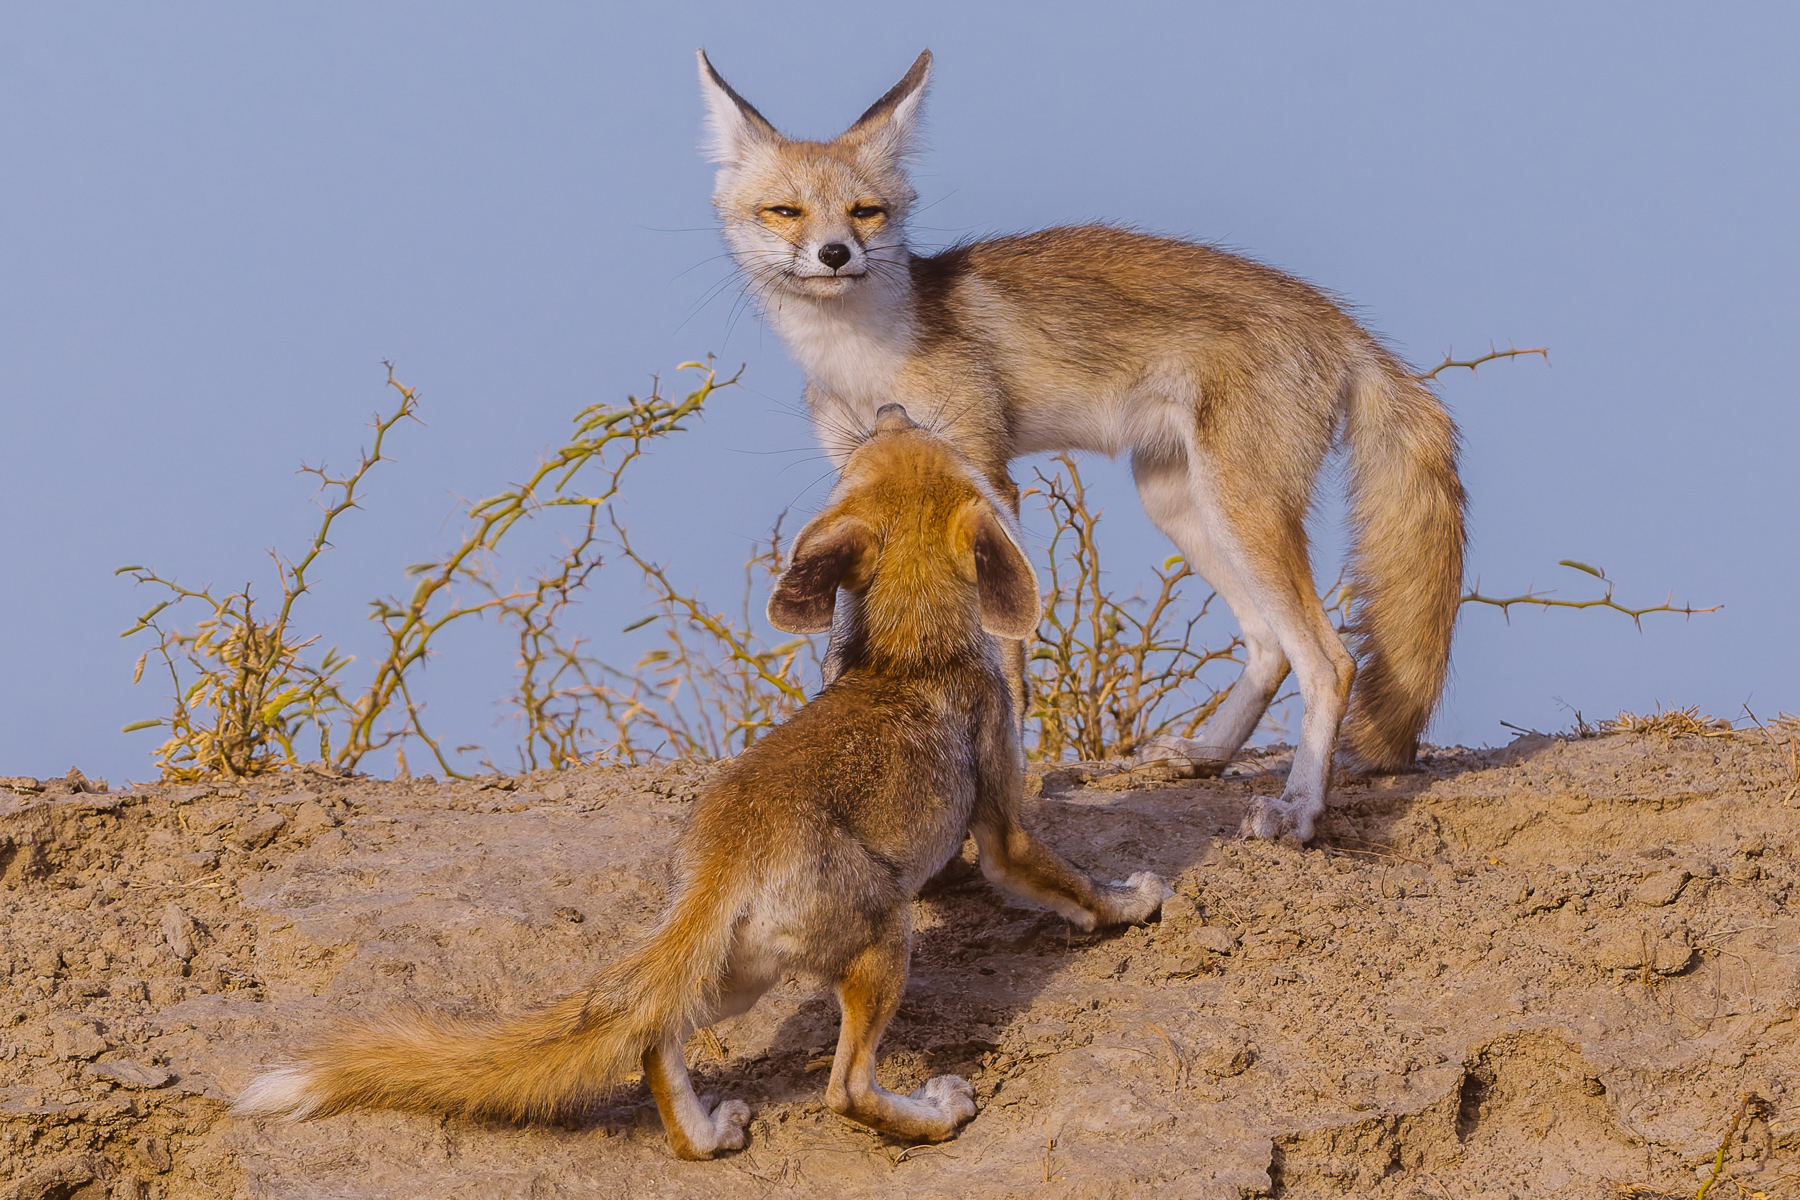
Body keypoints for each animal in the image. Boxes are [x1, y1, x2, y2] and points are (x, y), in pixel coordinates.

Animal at [233, 406, 1170, 1160]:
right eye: (933, 444)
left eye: (885, 444)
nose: (891, 407)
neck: (907, 654)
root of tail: (724, 854)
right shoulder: (1003, 813)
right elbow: (1071, 882)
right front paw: (1135, 900)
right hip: (880, 945)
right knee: (844, 1091)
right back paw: (935, 1113)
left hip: (739, 976)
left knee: (651, 1039)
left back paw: (706, 1137)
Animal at [697, 49, 1467, 844]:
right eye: (786, 211)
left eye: (865, 212)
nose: (835, 253)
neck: (861, 358)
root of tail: (1342, 321)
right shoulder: (859, 477)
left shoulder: (986, 477)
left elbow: (1005, 659)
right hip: (1178, 501)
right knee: (1270, 644)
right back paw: (1207, 756)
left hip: (1243, 508)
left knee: (1331, 661)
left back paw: (1299, 810)